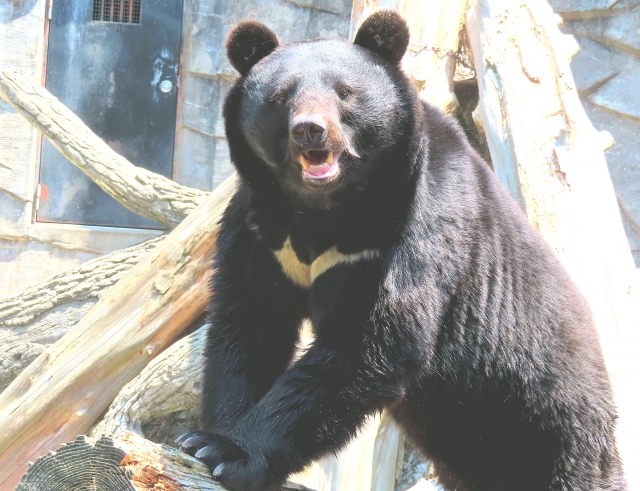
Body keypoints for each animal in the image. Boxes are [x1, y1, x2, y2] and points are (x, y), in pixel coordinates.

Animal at [178, 11, 628, 491]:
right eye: (281, 97)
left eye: (344, 92)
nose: (310, 129)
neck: (324, 207)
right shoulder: (261, 225)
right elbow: (251, 320)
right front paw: (203, 438)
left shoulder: (420, 212)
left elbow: (376, 336)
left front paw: (230, 451)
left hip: (548, 403)